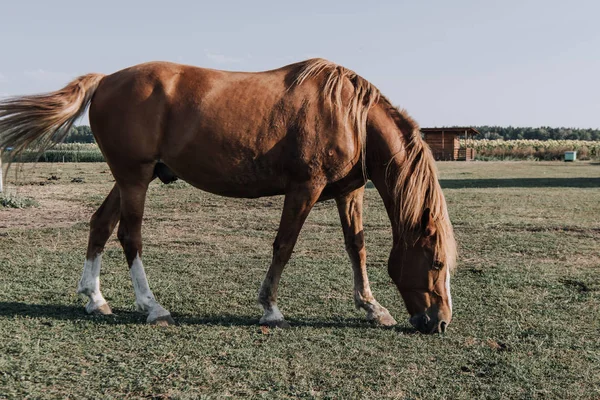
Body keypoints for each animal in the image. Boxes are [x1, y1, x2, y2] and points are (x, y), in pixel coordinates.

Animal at [0, 58, 458, 334]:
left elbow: (356, 247)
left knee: (100, 224)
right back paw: (152, 306)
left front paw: (373, 307)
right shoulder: (304, 188)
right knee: (130, 236)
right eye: (436, 263)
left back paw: (95, 299)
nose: (440, 322)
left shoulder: (350, 191)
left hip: (131, 177)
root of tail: (106, 80)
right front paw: (270, 308)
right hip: (134, 178)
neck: (350, 115)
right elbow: (284, 245)